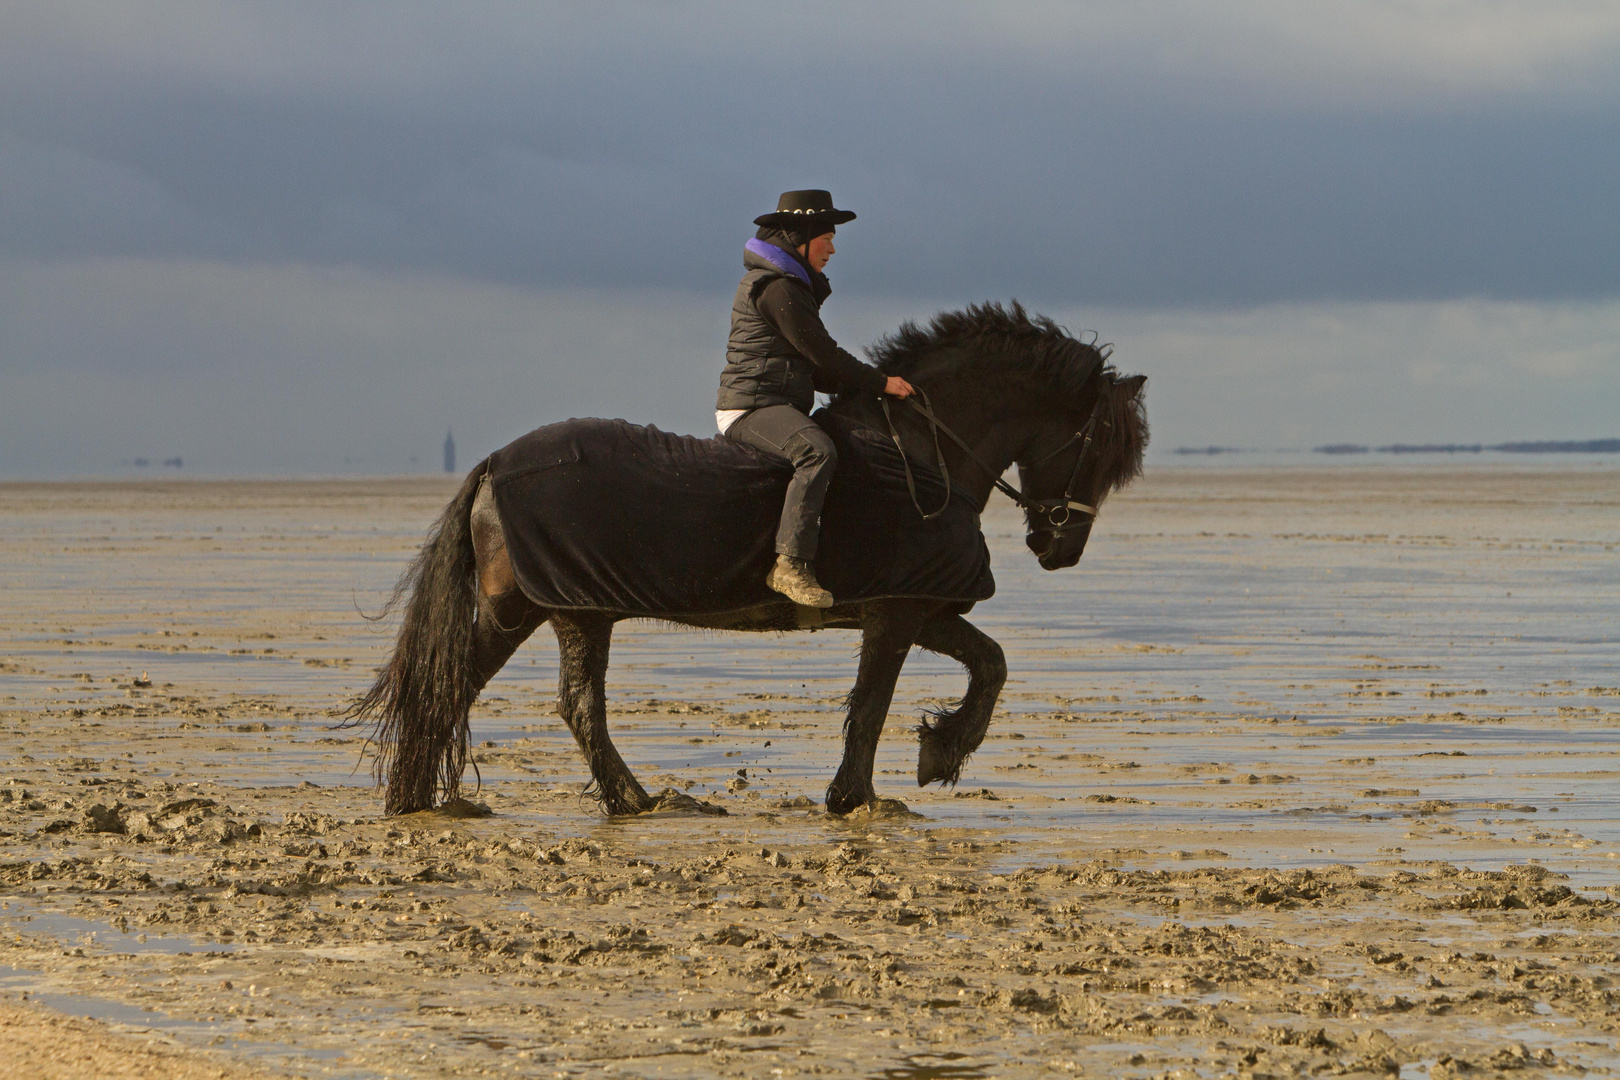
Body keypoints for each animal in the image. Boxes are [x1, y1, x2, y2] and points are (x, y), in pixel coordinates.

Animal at [346, 299, 1146, 816]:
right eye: (1101, 445)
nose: (1060, 548)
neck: (922, 453)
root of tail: (492, 464)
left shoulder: (919, 606)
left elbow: (989, 664)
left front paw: (939, 752)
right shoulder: (896, 609)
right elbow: (877, 701)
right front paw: (863, 795)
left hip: (571, 610)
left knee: (532, 697)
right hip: (540, 607)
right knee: (498, 692)